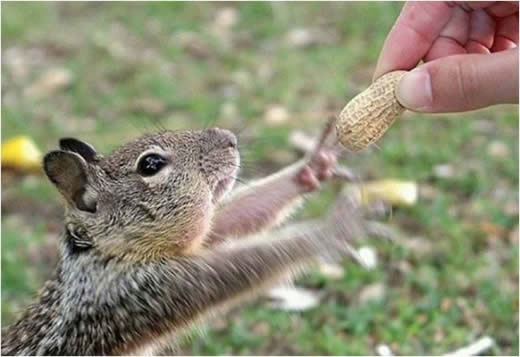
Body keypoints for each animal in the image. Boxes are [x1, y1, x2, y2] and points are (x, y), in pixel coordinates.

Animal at [1, 119, 366, 354]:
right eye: (150, 164)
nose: (229, 138)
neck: (101, 251)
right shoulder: (148, 289)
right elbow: (247, 265)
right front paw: (332, 228)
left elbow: (229, 220)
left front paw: (311, 166)